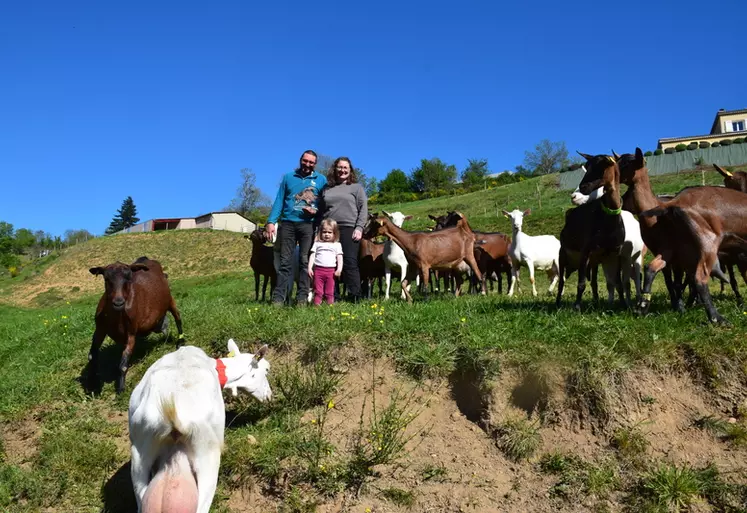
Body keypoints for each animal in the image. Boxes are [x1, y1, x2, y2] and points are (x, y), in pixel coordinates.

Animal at [87, 256, 184, 392]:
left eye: (129, 278)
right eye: (106, 278)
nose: (118, 302)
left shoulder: (131, 332)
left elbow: (122, 365)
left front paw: (120, 389)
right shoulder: (100, 329)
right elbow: (92, 355)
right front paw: (93, 383)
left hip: (170, 300)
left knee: (178, 318)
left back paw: (180, 341)